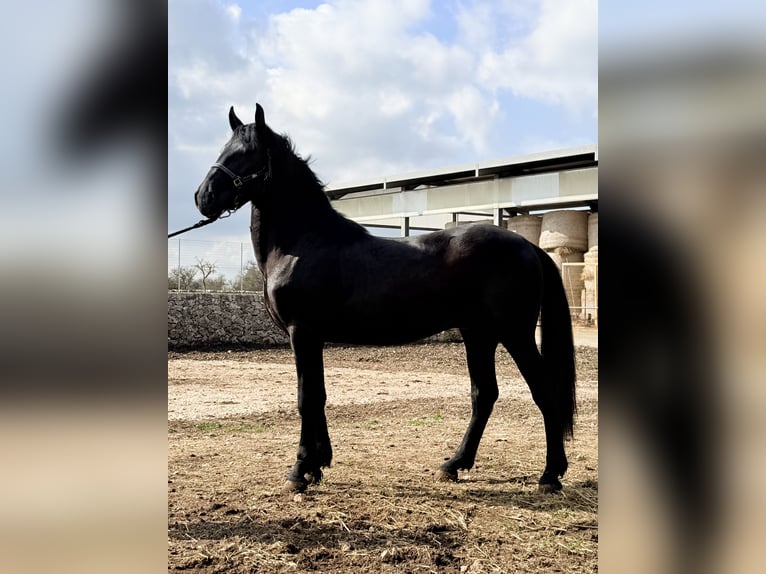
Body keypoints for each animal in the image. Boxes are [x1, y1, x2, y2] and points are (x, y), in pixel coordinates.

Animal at [193, 104, 576, 493]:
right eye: (225, 148)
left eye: (247, 153)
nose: (203, 197)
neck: (304, 243)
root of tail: (528, 246)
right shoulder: (313, 337)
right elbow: (319, 395)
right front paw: (319, 464)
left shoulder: (301, 333)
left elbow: (306, 398)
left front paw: (299, 471)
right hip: (478, 335)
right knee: (484, 394)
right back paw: (454, 464)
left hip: (514, 334)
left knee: (544, 390)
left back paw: (550, 475)